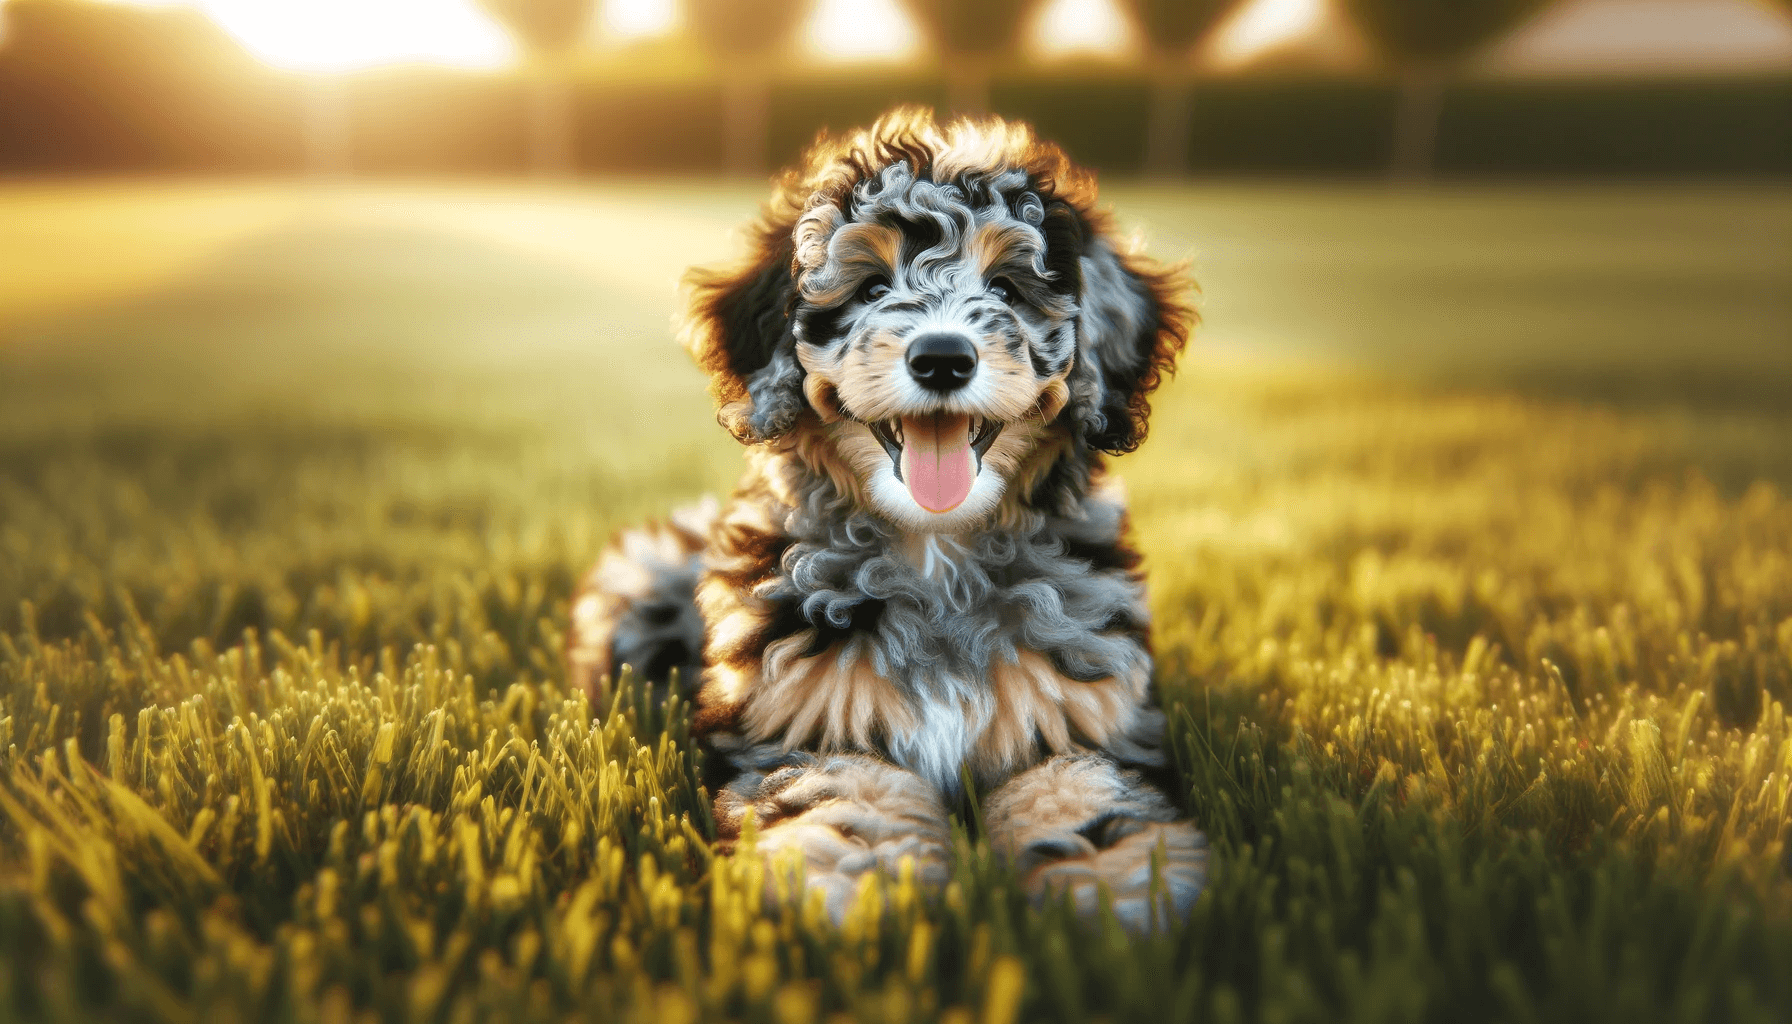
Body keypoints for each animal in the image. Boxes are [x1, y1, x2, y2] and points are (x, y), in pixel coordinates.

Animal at [566, 108, 1211, 932]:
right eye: (871, 286)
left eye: (1007, 288)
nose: (941, 358)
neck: (937, 552)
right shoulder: (807, 720)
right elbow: (848, 791)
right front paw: (858, 886)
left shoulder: (1080, 712)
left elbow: (1080, 787)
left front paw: (1122, 886)